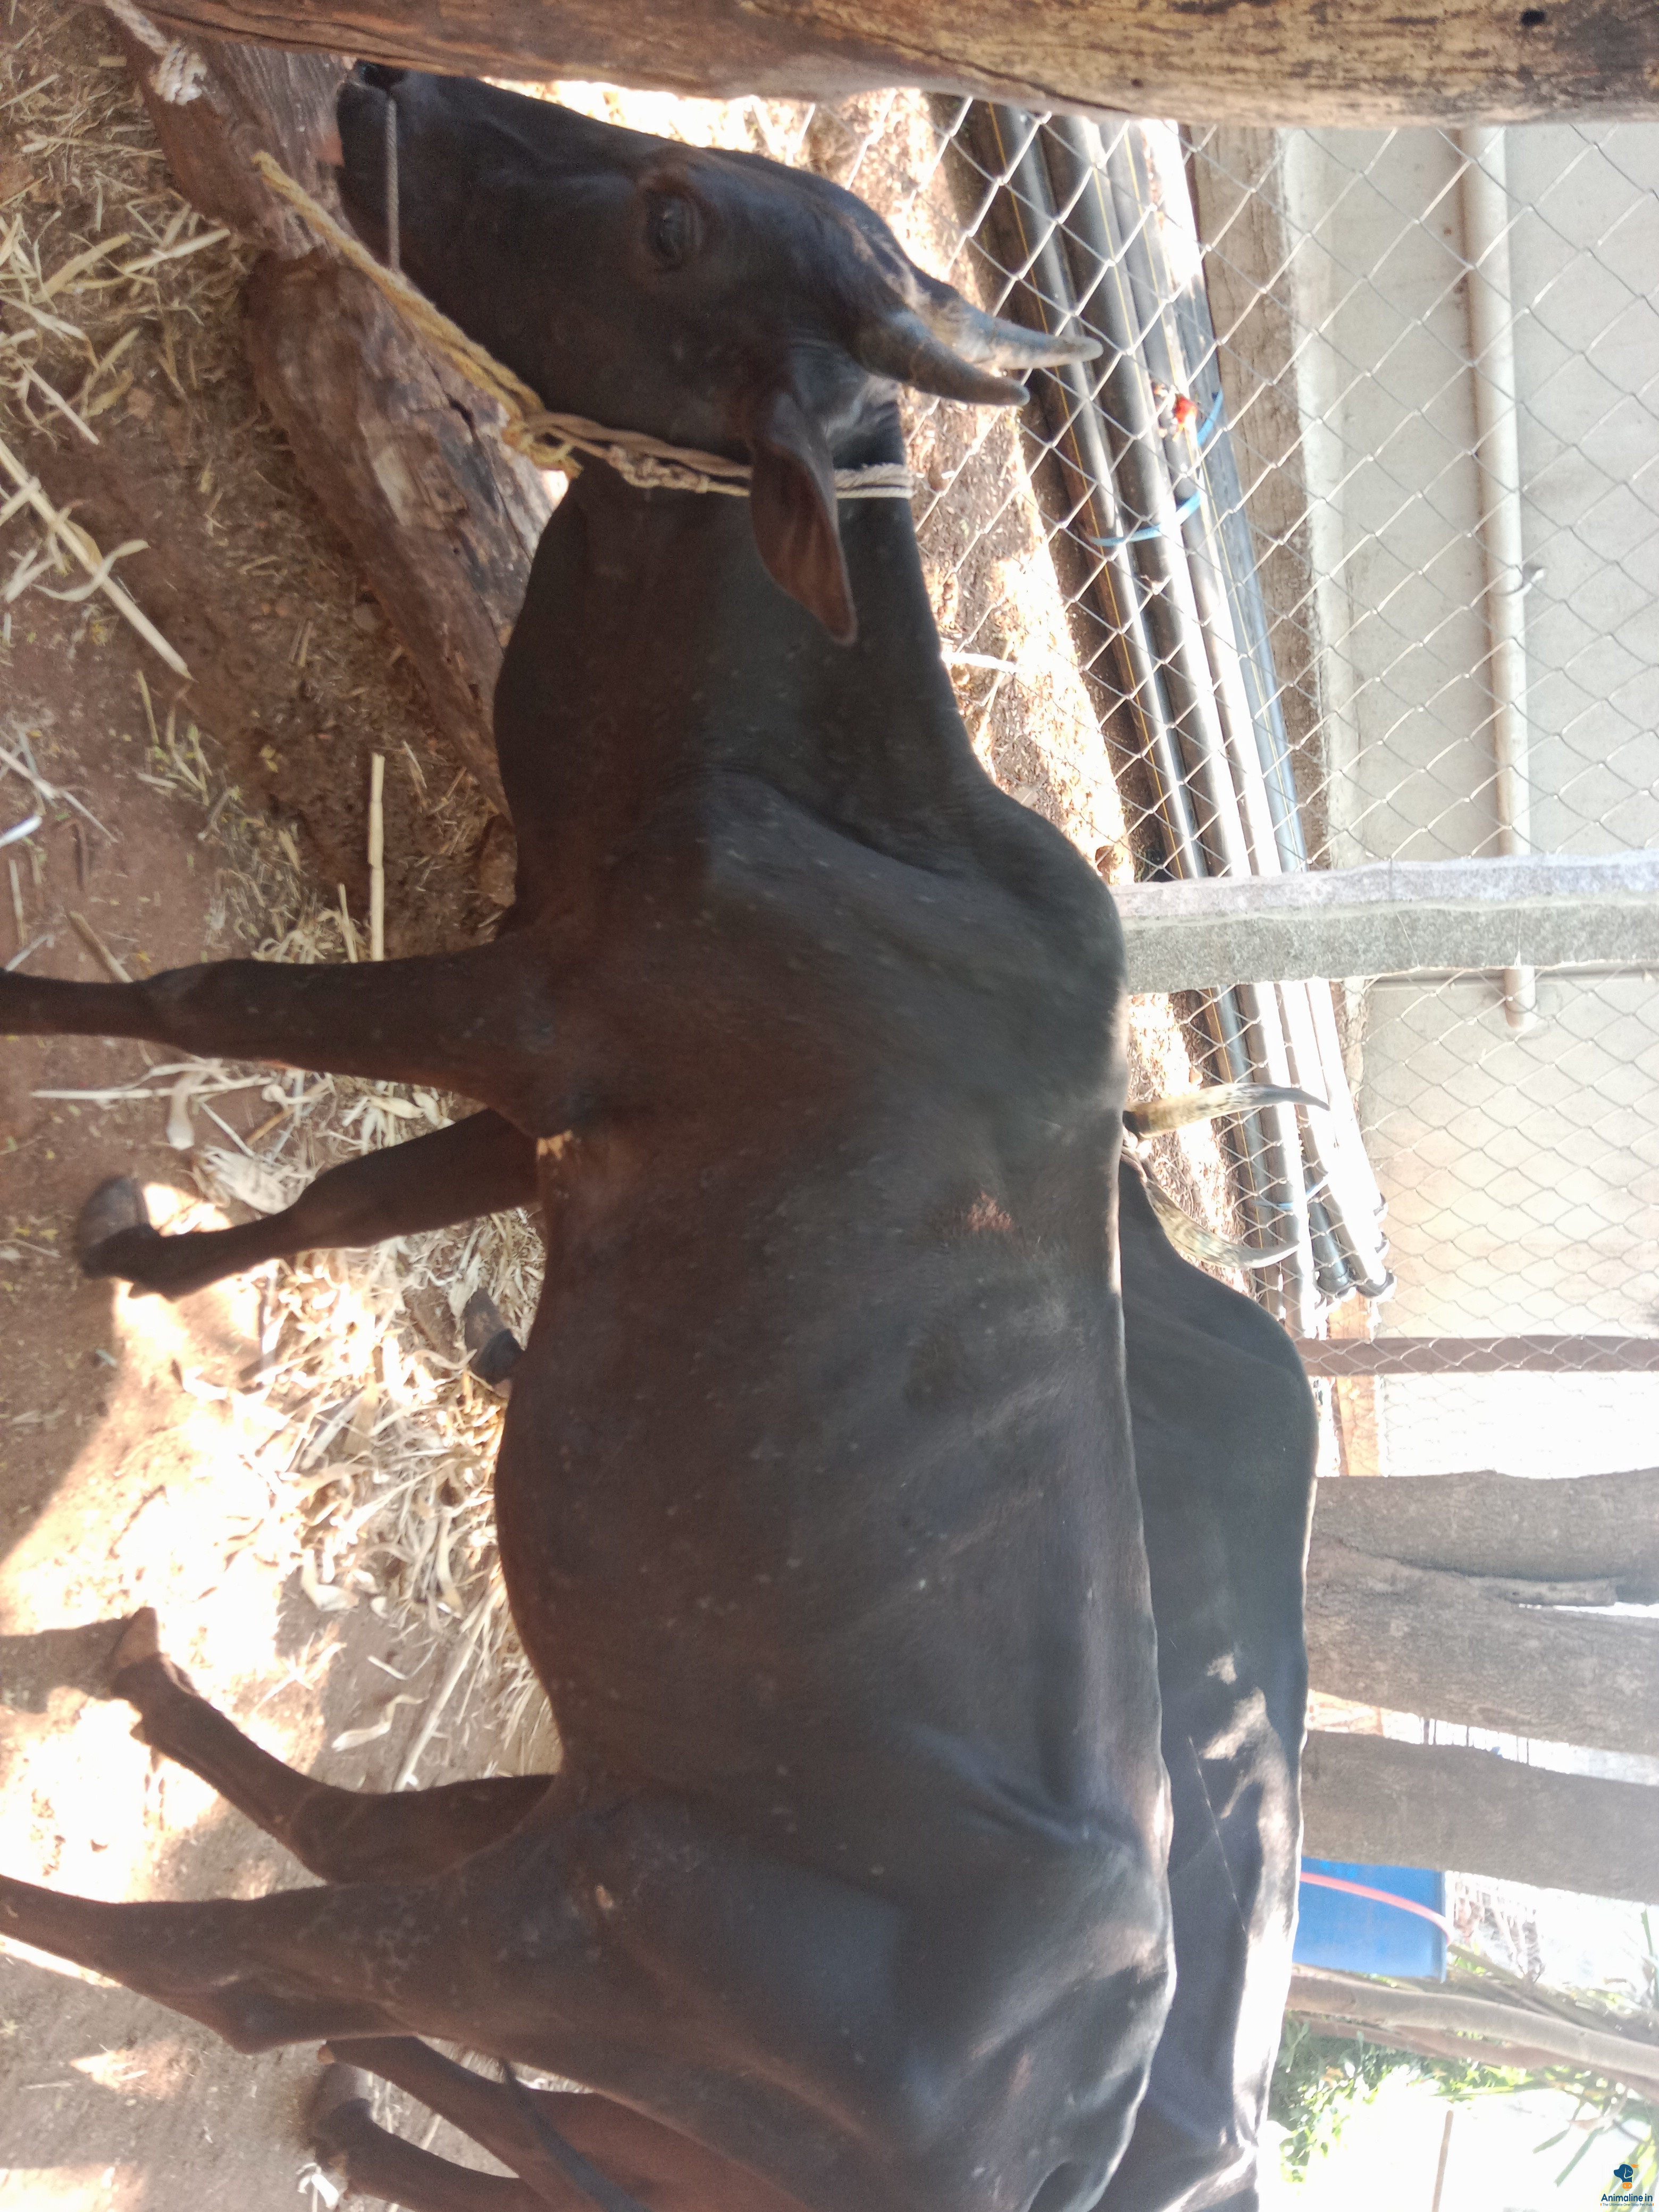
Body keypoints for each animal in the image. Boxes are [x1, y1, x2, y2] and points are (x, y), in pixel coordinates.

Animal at [0, 67, 1175, 2212]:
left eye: (670, 223)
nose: (380, 81)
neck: (781, 767)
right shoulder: (544, 1111)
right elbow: (342, 1195)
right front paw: (144, 1257)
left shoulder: (523, 1011)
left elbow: (207, 998)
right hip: (568, 1826)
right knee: (361, 1848)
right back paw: (138, 1687)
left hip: (577, 1925)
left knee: (254, 1973)